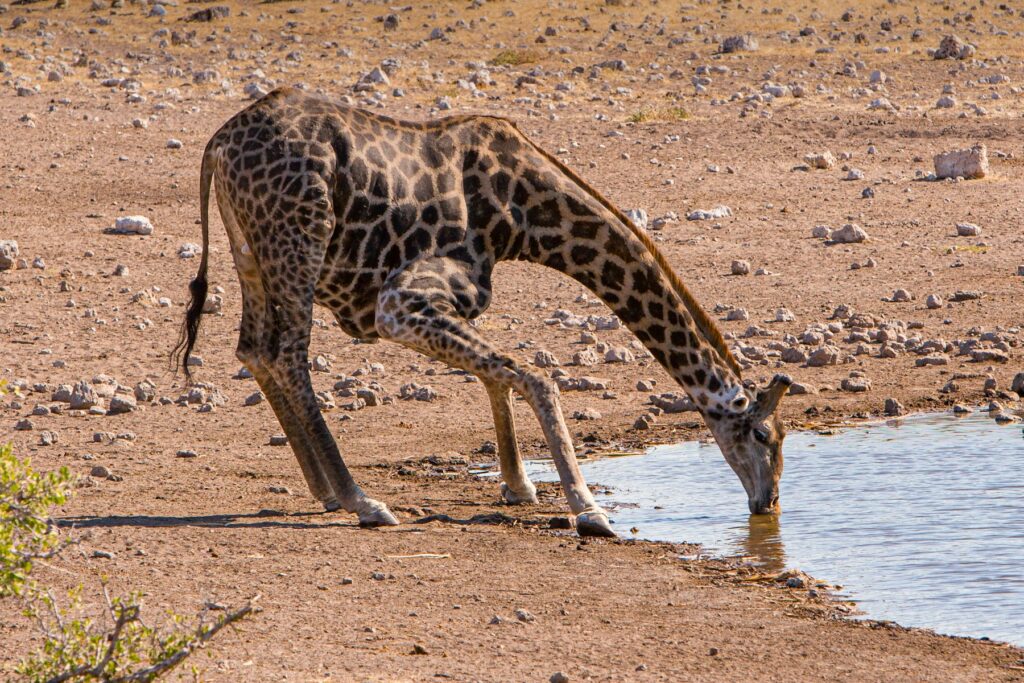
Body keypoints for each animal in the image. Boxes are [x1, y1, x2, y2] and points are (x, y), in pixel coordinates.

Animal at [174, 87, 790, 538]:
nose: (770, 504)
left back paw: (326, 491)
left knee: (255, 349)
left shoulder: (443, 302)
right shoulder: (400, 303)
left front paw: (519, 485)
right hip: (299, 240)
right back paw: (361, 500)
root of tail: (217, 144)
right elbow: (536, 376)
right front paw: (588, 508)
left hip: (249, 249)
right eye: (765, 437)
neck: (525, 217)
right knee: (288, 354)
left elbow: (499, 375)